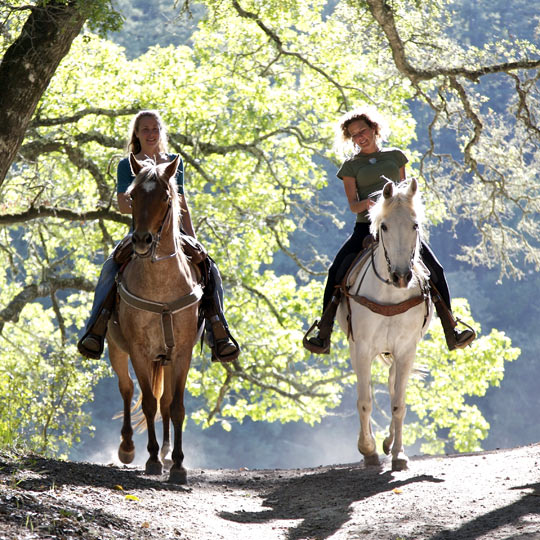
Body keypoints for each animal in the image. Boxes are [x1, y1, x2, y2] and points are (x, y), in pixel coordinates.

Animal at [105, 153, 200, 486]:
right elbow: (146, 402)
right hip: (116, 349)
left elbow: (177, 406)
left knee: (166, 402)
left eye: (166, 197)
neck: (161, 288)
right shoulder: (139, 351)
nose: (143, 241)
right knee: (126, 389)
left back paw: (168, 452)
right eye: (133, 196)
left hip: (167, 359)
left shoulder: (182, 353)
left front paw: (179, 466)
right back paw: (128, 448)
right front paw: (151, 460)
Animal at [338, 179, 434, 470]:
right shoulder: (361, 347)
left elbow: (398, 403)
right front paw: (367, 450)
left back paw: (389, 443)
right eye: (384, 226)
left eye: (415, 225)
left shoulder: (406, 350)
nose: (401, 276)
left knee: (392, 386)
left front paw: (399, 454)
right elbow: (365, 401)